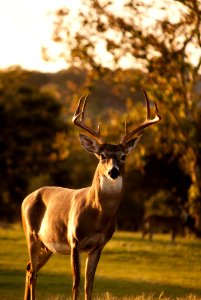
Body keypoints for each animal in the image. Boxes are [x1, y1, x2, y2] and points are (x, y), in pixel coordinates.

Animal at [21, 91, 161, 300]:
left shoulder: (98, 246)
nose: (113, 171)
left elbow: (89, 285)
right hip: (31, 234)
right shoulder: (74, 241)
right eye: (102, 155)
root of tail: (26, 198)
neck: (98, 216)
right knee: (33, 273)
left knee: (30, 268)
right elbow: (76, 284)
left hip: (47, 245)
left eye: (123, 156)